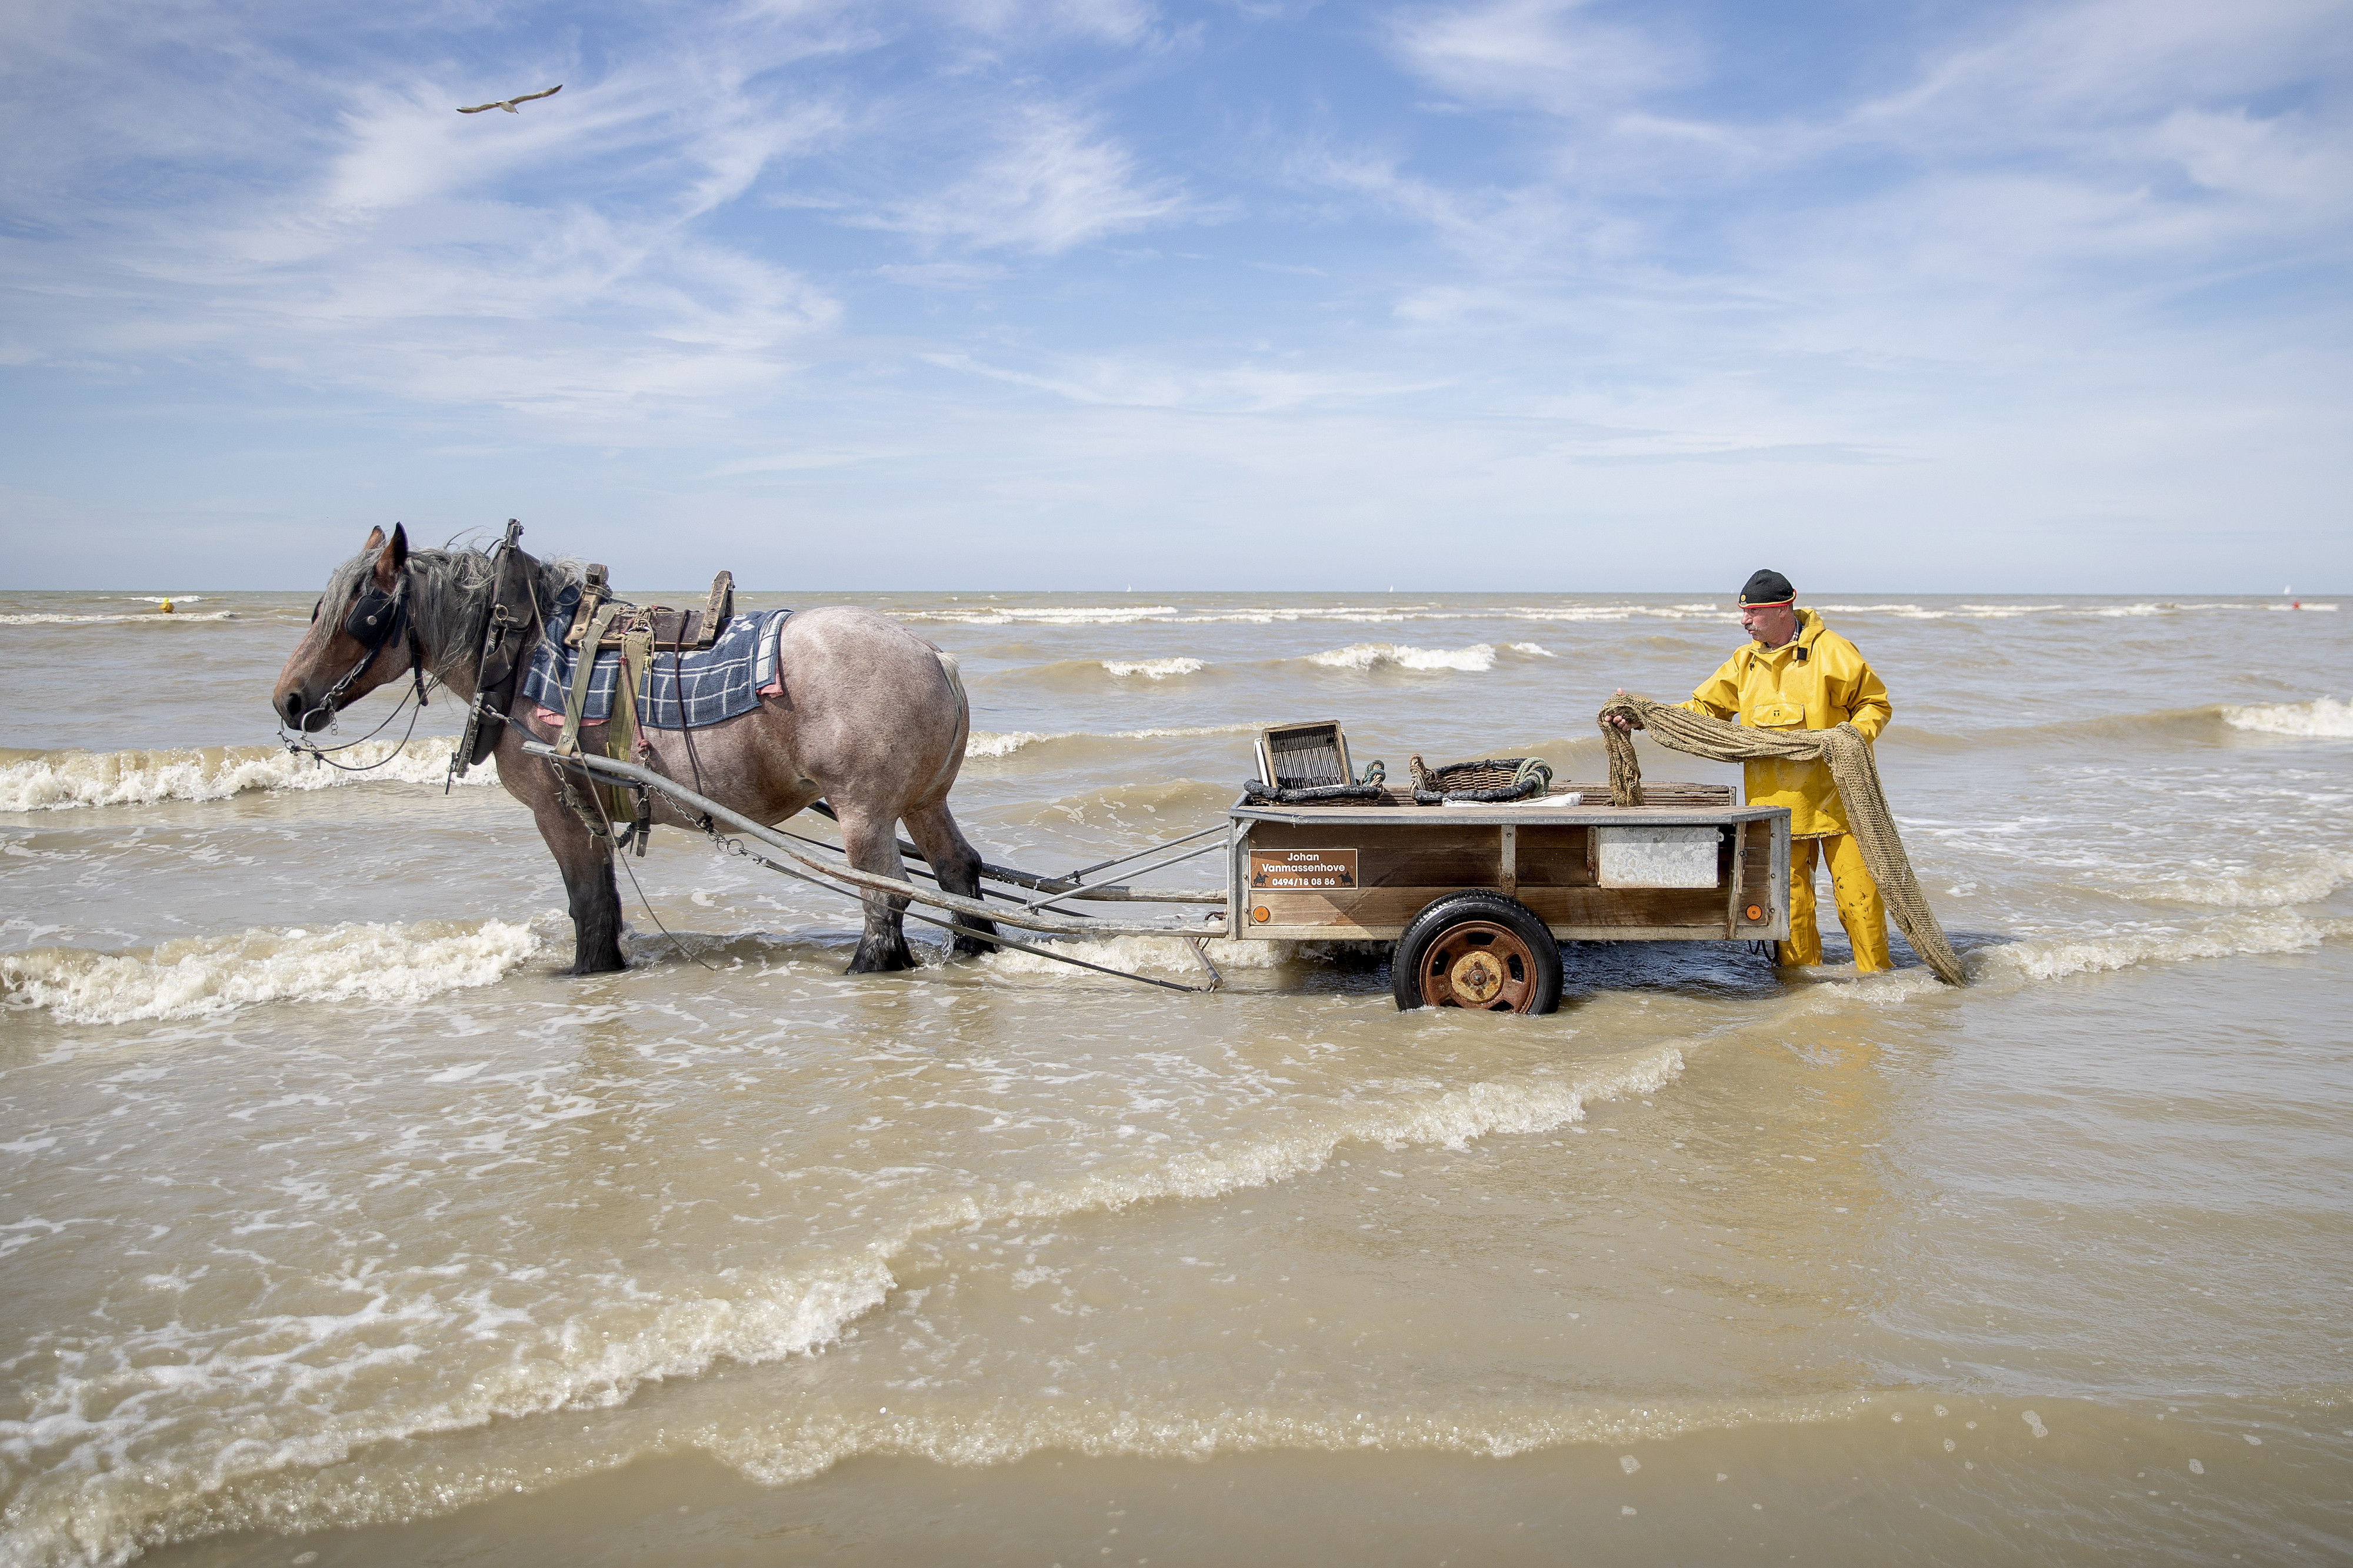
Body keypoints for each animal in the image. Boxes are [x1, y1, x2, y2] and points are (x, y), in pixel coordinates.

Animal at [273, 518, 993, 970]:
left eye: (361, 614)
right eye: (317, 609)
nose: (288, 699)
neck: (524, 652)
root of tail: (936, 657)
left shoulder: (558, 809)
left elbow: (588, 903)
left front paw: (589, 971)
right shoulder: (589, 809)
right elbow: (604, 902)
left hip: (863, 812)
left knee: (885, 896)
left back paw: (870, 966)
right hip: (920, 803)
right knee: (956, 871)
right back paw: (972, 946)